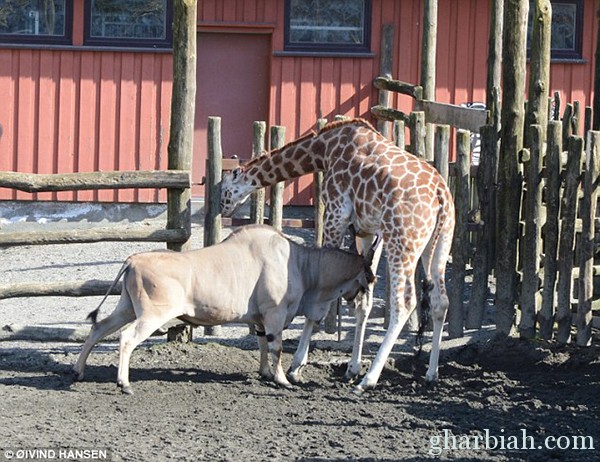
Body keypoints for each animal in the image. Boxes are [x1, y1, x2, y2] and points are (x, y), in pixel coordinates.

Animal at [220, 119, 454, 394]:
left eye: (225, 189)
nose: (222, 208)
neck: (324, 149)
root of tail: (441, 195)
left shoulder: (335, 213)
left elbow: (320, 295)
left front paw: (296, 367)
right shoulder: (369, 231)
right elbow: (364, 301)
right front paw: (352, 368)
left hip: (403, 241)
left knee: (404, 303)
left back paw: (369, 380)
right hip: (438, 243)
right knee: (441, 301)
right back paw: (431, 373)